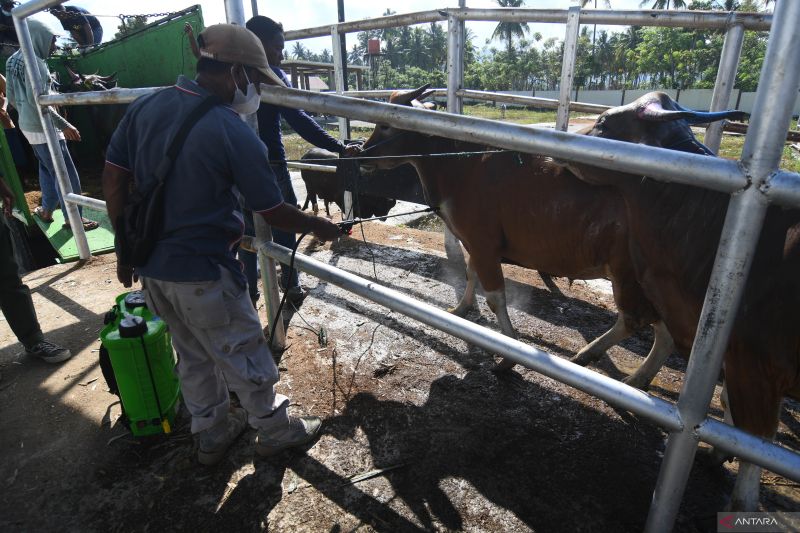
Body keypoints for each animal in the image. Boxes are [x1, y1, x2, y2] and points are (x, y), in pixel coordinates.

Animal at [362, 85, 676, 378]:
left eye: (385, 124)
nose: (362, 153)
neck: (459, 163)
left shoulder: (483, 243)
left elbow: (494, 297)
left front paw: (508, 357)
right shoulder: (476, 245)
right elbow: (471, 274)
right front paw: (461, 309)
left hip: (629, 276)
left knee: (636, 321)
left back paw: (602, 361)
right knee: (663, 333)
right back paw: (634, 378)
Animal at [564, 92, 796, 512]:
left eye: (604, 122)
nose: (564, 139)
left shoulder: (754, 365)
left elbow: (757, 441)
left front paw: (739, 497)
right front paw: (717, 452)